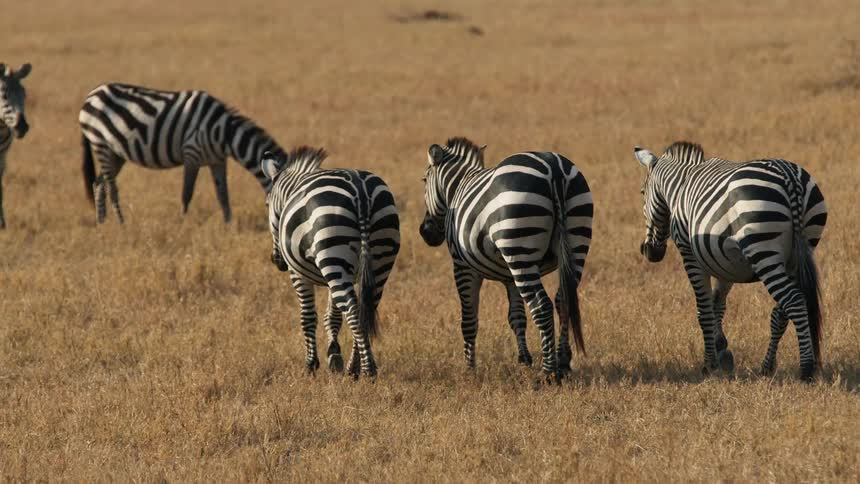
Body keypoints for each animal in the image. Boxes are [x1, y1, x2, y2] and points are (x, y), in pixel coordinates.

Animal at [79, 83, 287, 224]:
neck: (224, 133)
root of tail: (91, 95)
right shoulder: (191, 154)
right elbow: (187, 193)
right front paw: (182, 222)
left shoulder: (218, 160)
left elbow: (223, 195)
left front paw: (229, 224)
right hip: (100, 143)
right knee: (111, 187)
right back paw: (121, 224)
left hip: (115, 153)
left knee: (99, 183)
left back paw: (102, 223)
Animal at [261, 146, 400, 378]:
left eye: (266, 204)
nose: (276, 261)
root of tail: (360, 191)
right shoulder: (339, 274)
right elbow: (333, 315)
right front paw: (334, 356)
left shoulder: (297, 274)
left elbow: (308, 317)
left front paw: (311, 365)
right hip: (377, 258)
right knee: (365, 308)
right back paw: (354, 367)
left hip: (332, 252)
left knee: (353, 310)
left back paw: (368, 370)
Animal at [419, 137, 593, 378]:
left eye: (424, 180)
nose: (425, 232)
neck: (457, 187)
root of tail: (554, 169)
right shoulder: (510, 276)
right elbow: (517, 317)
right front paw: (524, 359)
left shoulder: (463, 267)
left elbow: (468, 320)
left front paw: (469, 369)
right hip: (575, 243)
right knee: (563, 299)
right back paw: (564, 363)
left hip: (521, 249)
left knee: (542, 306)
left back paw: (548, 372)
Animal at [634, 141, 827, 380]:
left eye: (642, 192)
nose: (649, 252)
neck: (680, 186)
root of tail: (789, 178)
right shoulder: (724, 261)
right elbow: (718, 304)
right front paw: (722, 349)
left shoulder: (691, 256)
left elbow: (704, 311)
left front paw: (709, 364)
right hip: (801, 248)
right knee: (781, 311)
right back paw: (767, 367)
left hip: (762, 250)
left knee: (794, 300)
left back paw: (806, 368)